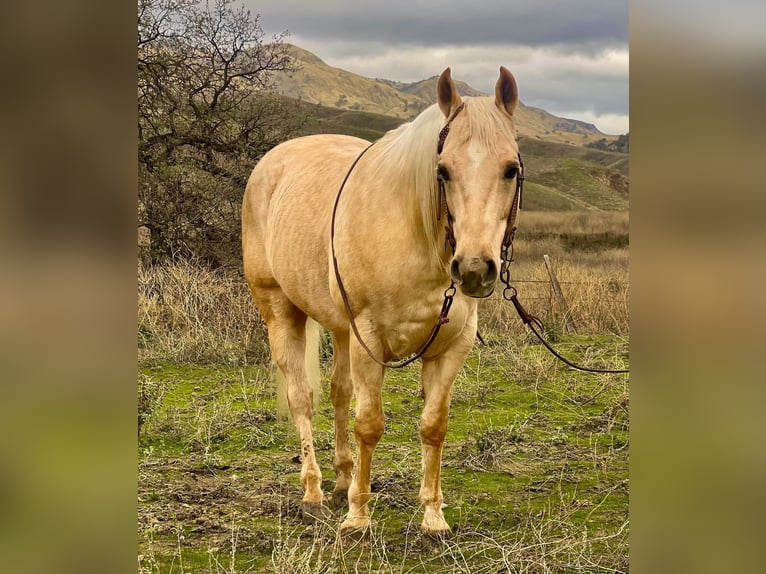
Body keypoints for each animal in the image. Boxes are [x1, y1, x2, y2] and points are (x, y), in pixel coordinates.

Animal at [243, 67, 524, 536]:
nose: (472, 269)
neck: (416, 238)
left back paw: (341, 480)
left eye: (511, 169)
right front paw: (358, 518)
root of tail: (272, 162)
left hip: (340, 330)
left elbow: (433, 426)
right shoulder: (369, 339)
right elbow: (370, 425)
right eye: (443, 171)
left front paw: (433, 518)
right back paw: (314, 493)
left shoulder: (451, 347)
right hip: (281, 313)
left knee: (338, 393)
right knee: (302, 398)